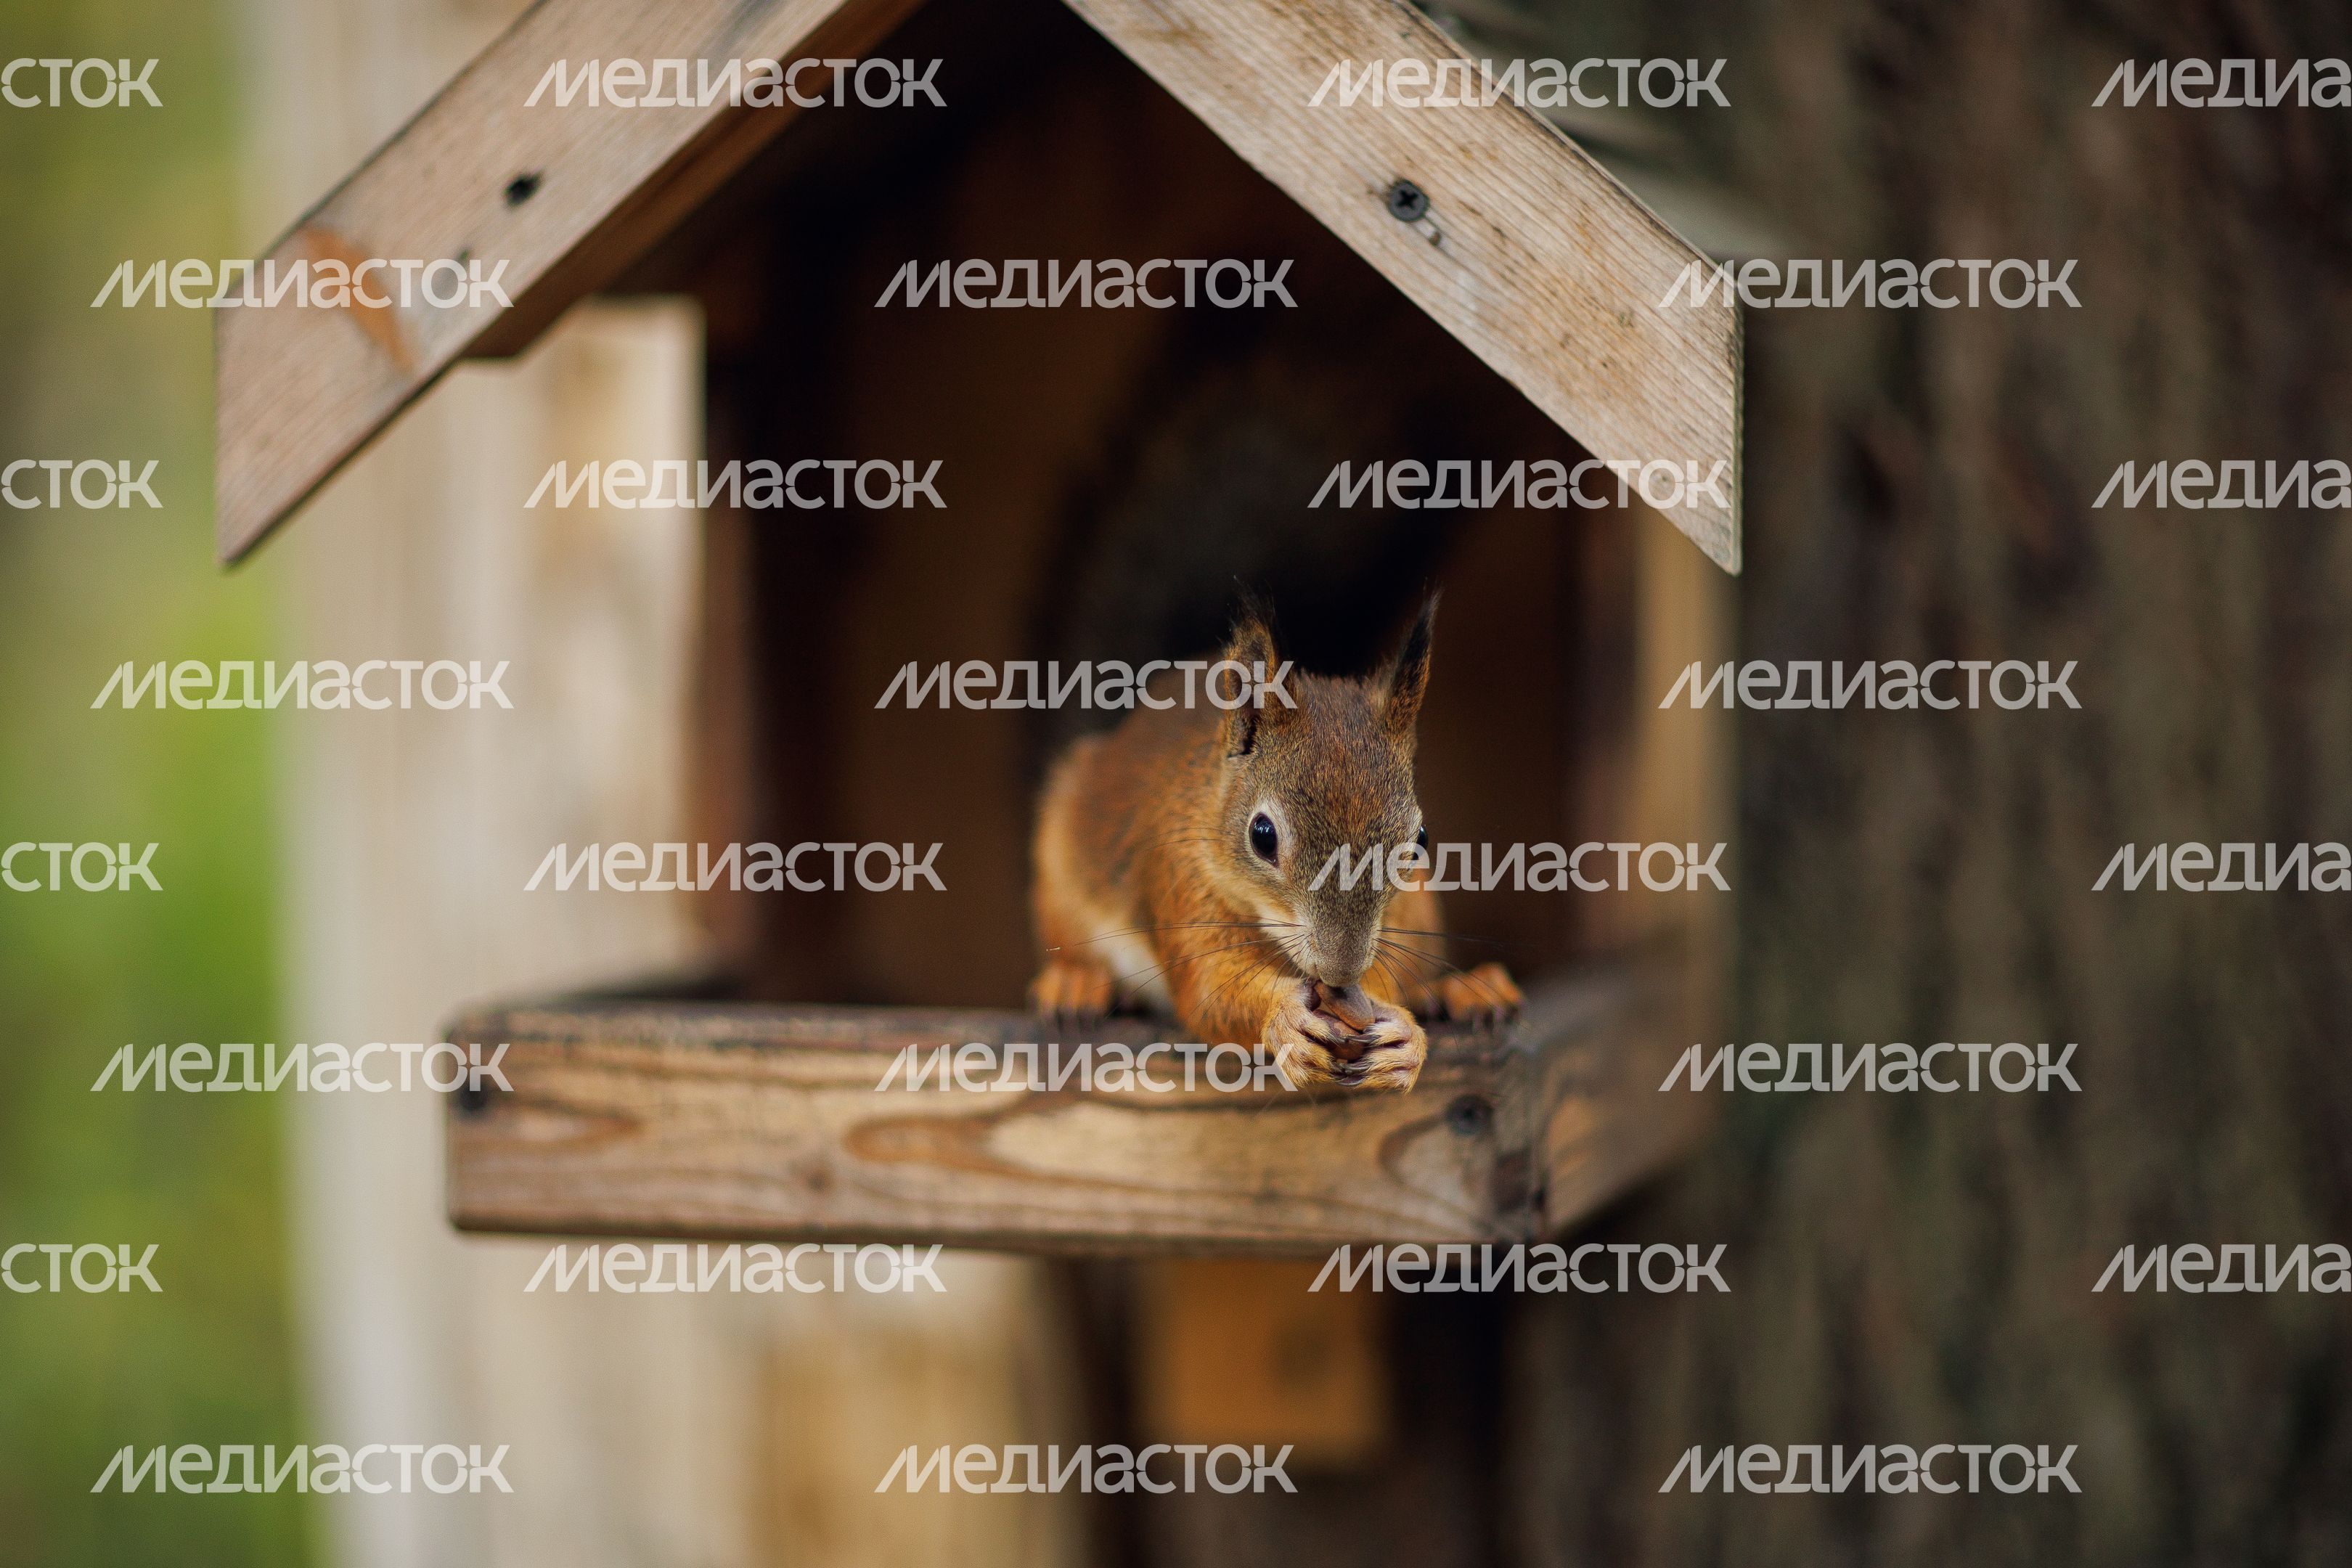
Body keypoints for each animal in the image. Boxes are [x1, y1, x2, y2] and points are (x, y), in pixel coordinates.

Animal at [1027, 593, 1520, 1091]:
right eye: (1262, 836)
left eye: (1419, 841)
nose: (1341, 971)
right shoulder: (1178, 880)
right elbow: (1209, 994)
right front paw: (1286, 1019)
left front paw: (1405, 1040)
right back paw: (1075, 983)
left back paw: (1465, 990)